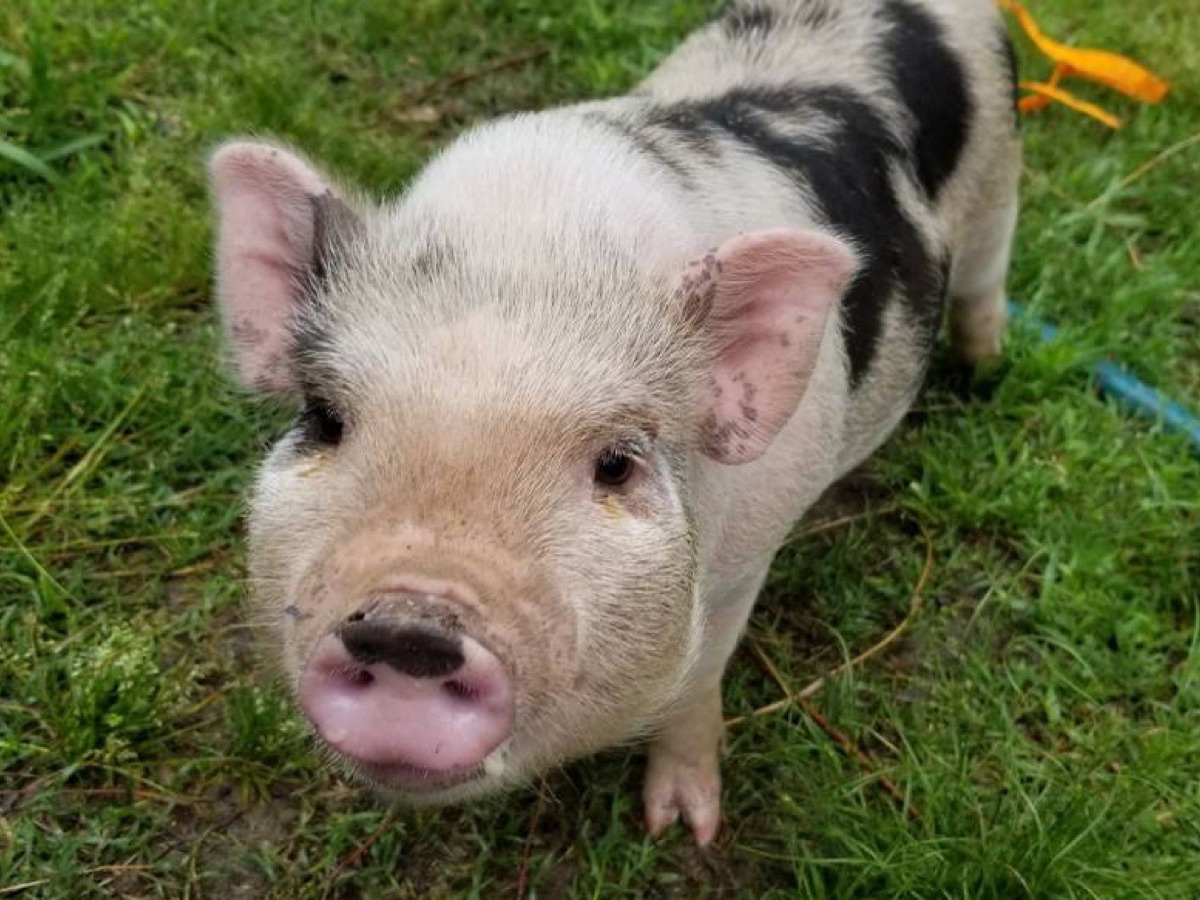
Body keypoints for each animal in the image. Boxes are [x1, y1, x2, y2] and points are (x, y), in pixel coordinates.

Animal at [208, 0, 1019, 845]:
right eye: (325, 418)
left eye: (616, 464)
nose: (409, 623)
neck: (532, 237)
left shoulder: (746, 556)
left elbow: (699, 682)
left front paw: (681, 830)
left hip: (1002, 186)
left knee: (986, 279)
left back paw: (986, 370)